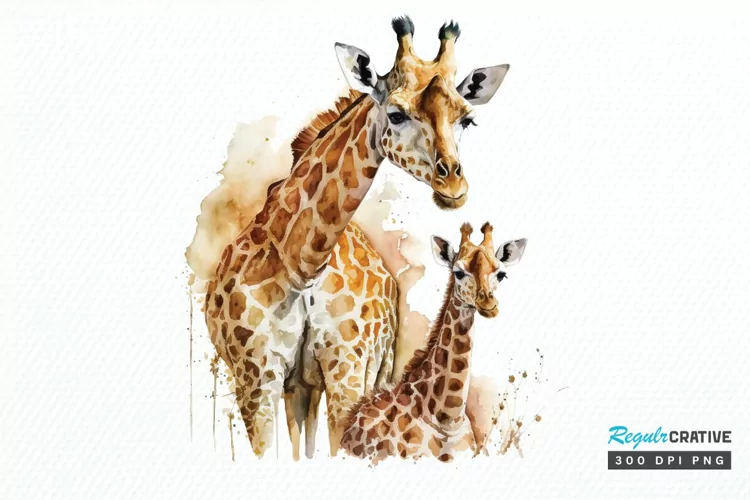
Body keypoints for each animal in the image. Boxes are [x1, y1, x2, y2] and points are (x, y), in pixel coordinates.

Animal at [205, 15, 511, 457]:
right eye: (396, 114)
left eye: (466, 119)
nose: (454, 185)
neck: (303, 265)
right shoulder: (256, 379)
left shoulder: (347, 373)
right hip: (297, 386)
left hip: (352, 378)